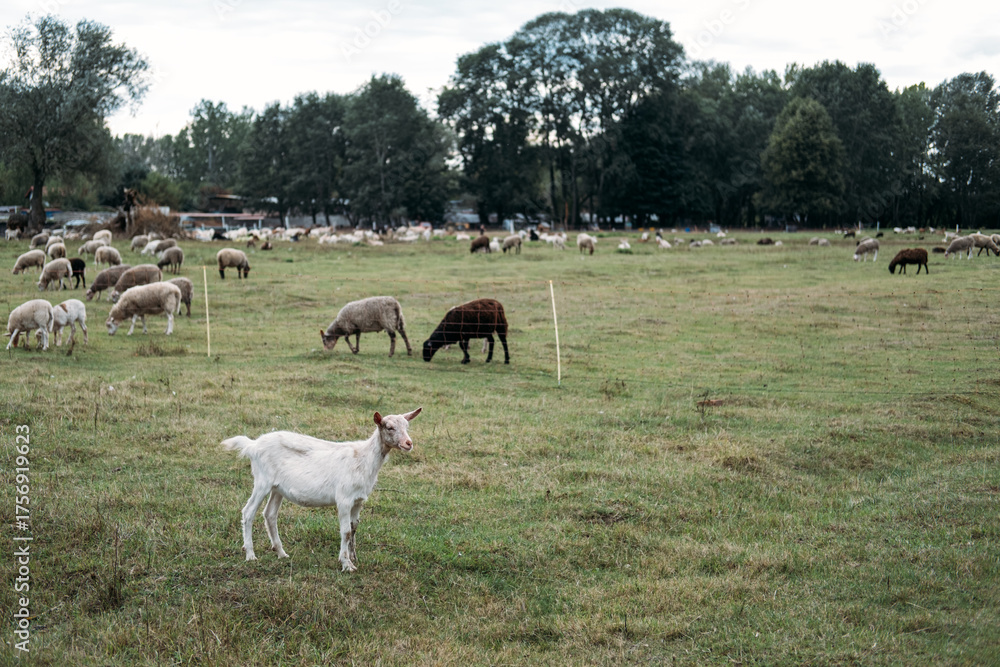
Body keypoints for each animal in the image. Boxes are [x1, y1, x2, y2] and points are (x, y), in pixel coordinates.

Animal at [223, 407, 422, 572]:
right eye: (389, 427)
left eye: (407, 425)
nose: (408, 443)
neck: (363, 458)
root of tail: (252, 445)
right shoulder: (344, 498)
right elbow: (346, 531)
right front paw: (346, 564)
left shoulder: (359, 500)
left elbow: (354, 528)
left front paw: (354, 557)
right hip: (262, 481)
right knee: (248, 511)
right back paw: (250, 555)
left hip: (277, 488)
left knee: (270, 514)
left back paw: (281, 553)